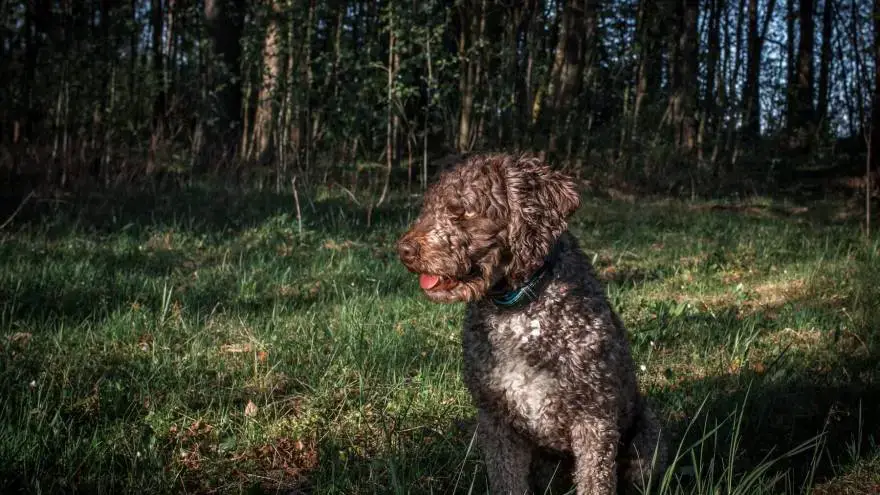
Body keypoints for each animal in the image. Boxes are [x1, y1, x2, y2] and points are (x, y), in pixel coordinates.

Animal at [398, 153, 668, 494]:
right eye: (428, 207)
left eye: (460, 211)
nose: (403, 250)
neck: (519, 311)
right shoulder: (496, 421)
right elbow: (506, 481)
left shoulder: (594, 419)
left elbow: (595, 482)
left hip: (647, 439)